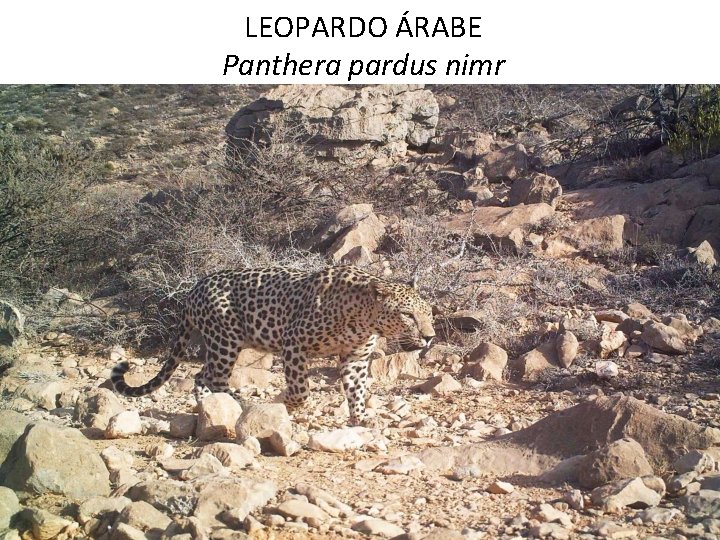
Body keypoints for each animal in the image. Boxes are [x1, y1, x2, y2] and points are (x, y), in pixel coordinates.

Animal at [111, 265, 435, 425]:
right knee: (213, 377)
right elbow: (301, 390)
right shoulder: (294, 343)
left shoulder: (354, 358)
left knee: (201, 376)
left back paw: (211, 407)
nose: (430, 337)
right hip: (225, 340)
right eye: (408, 315)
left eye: (428, 312)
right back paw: (240, 403)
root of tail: (194, 289)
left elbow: (357, 390)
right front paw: (283, 402)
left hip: (221, 344)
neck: (363, 317)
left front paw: (362, 418)